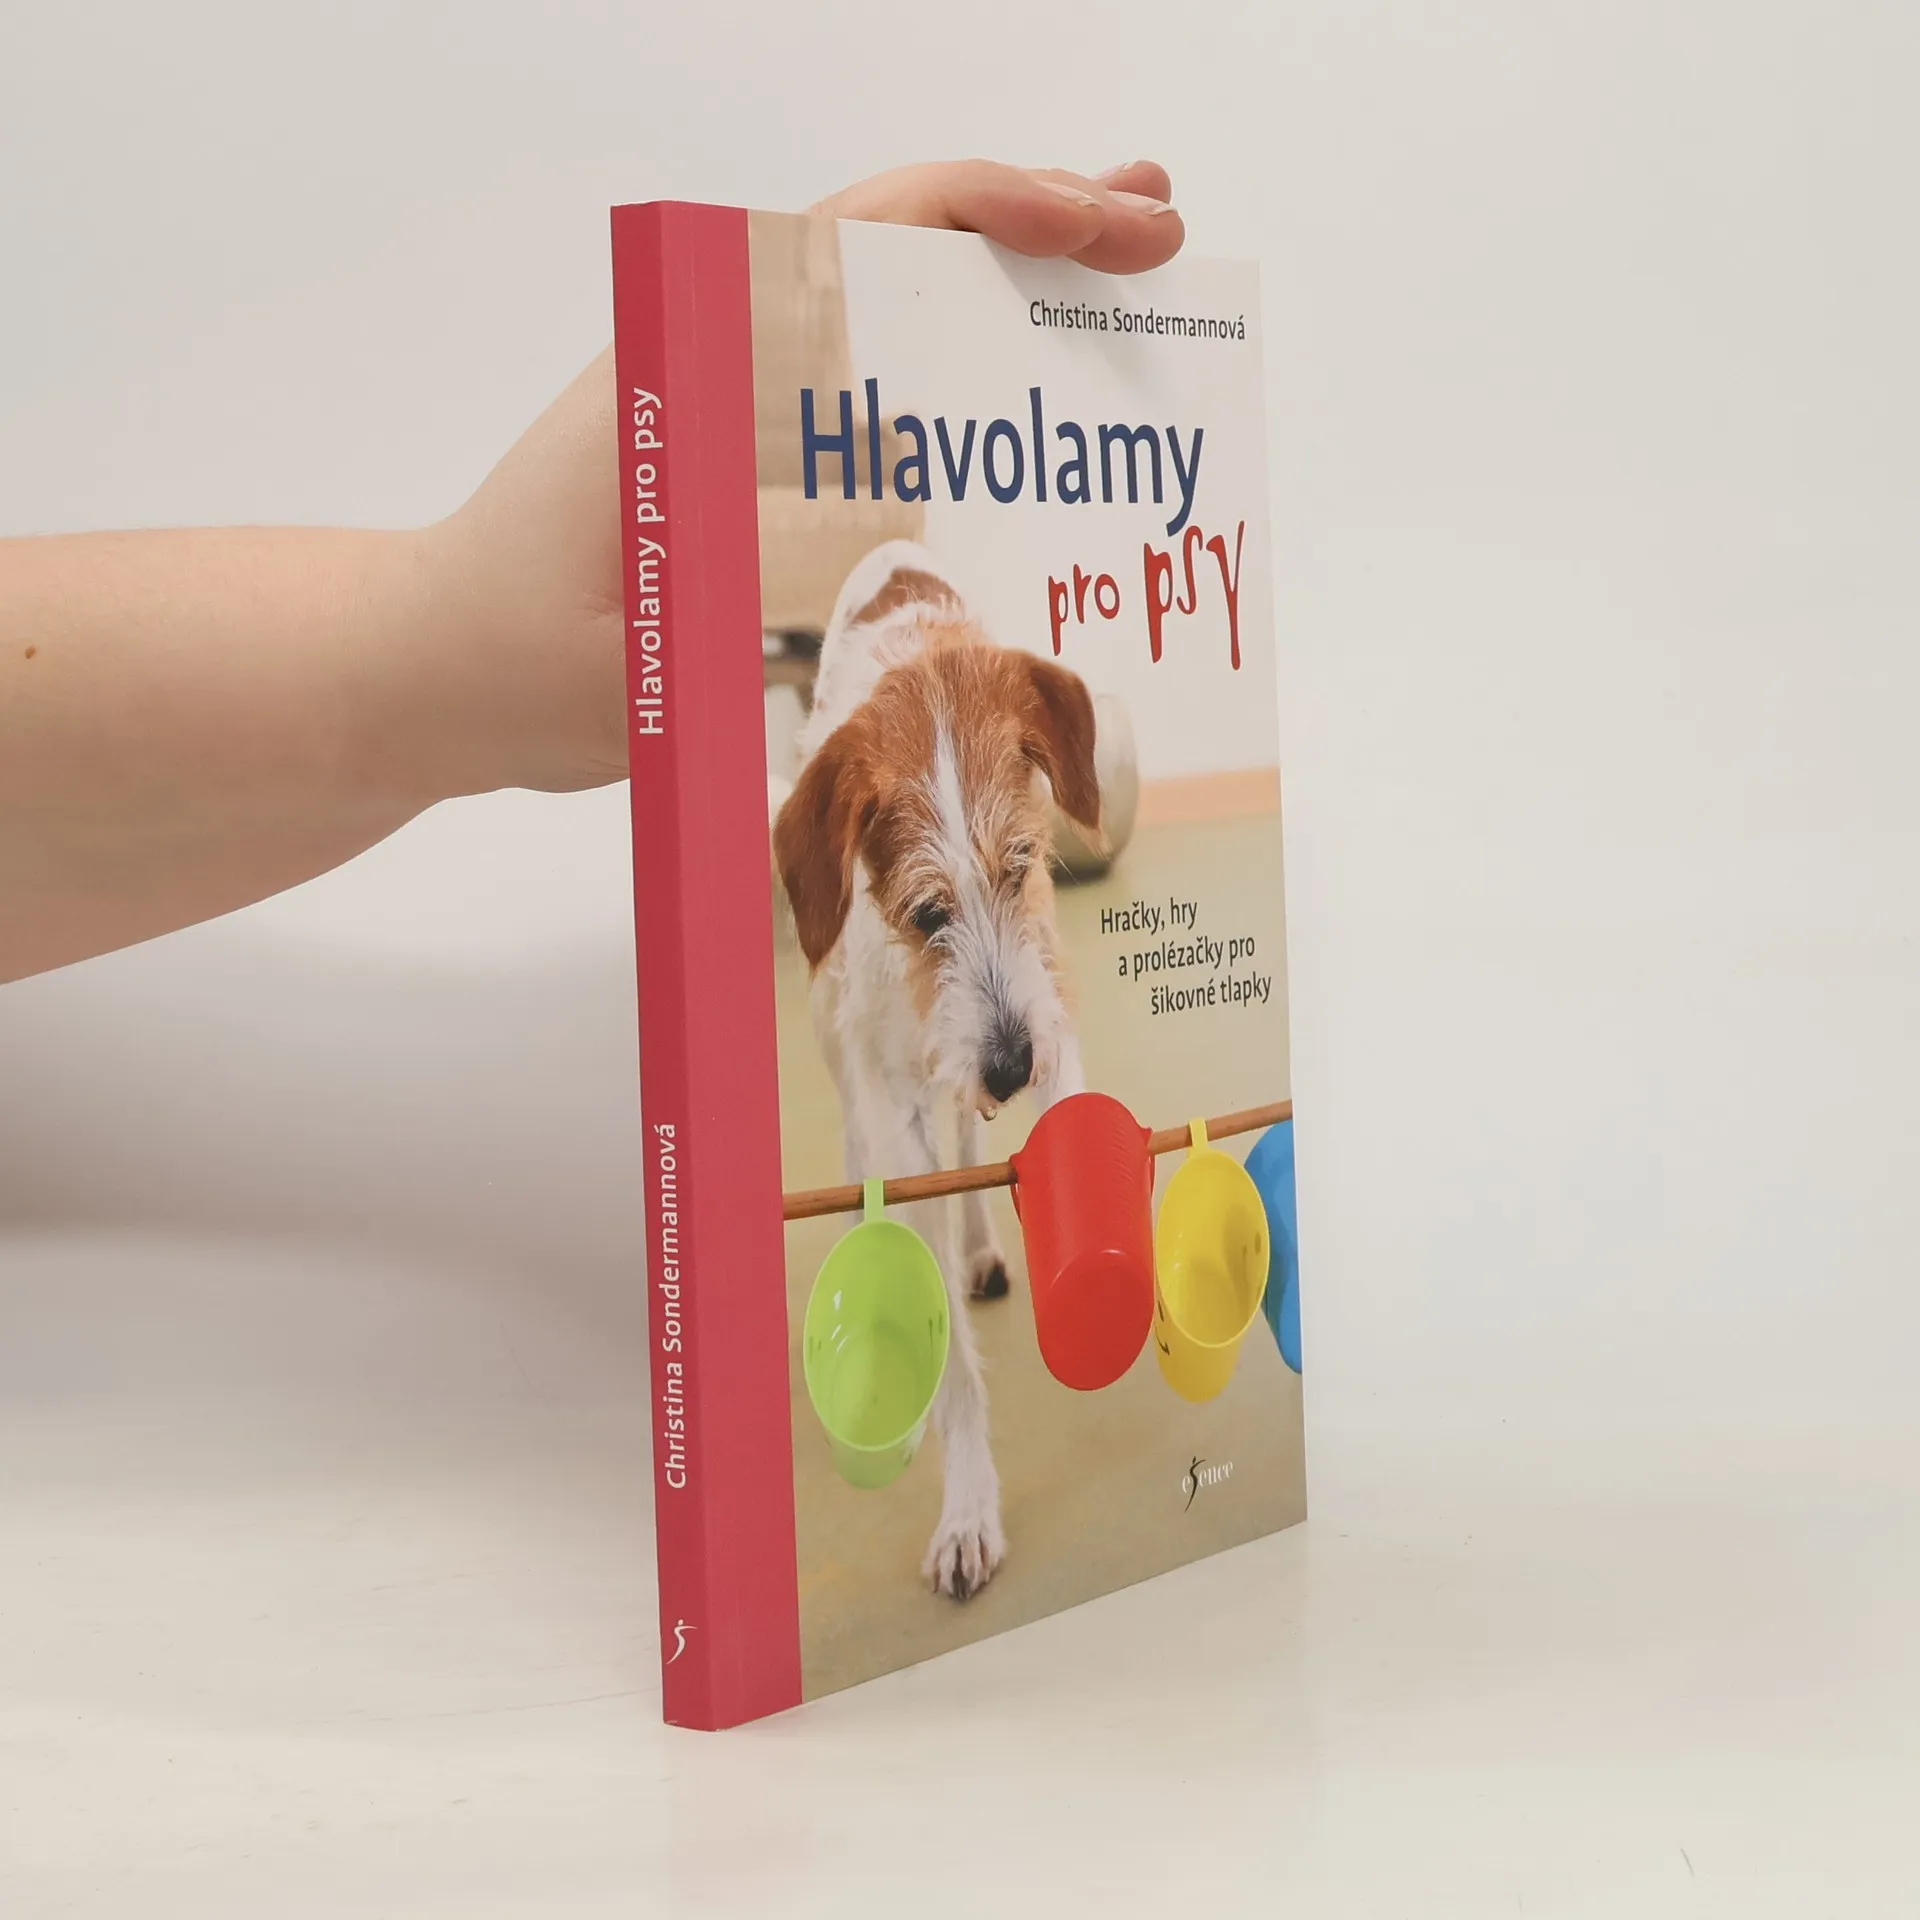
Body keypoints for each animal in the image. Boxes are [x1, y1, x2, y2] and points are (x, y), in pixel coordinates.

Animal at [773, 541, 1103, 1599]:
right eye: (925, 914)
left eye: (1024, 862)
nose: (1009, 1067)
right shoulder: (902, 1106)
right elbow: (948, 1349)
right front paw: (967, 1510)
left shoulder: (1049, 1012)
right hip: (850, 1066)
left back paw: (985, 1245)